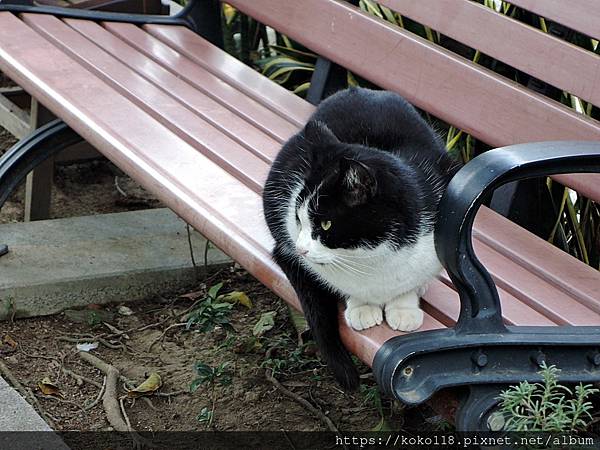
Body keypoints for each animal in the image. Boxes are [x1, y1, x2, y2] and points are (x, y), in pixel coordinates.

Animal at [262, 88, 460, 390]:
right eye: (298, 217)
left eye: (326, 223)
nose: (301, 249)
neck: (371, 261)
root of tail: (363, 90)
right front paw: (362, 306)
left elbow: (408, 283)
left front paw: (404, 306)